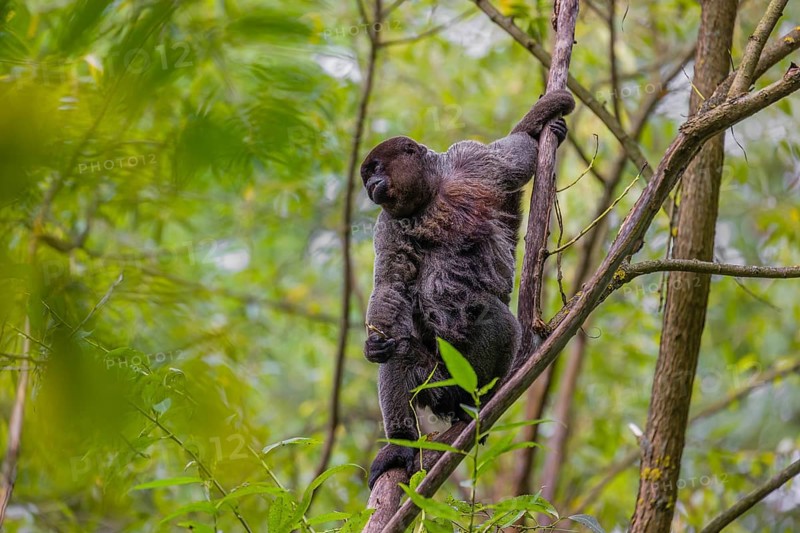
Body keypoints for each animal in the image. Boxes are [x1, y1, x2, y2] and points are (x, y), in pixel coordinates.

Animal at [360, 90, 575, 489]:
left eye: (377, 169)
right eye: (367, 175)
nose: (369, 186)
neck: (431, 194)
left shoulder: (470, 157)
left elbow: (518, 156)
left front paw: (546, 126)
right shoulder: (387, 222)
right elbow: (391, 285)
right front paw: (373, 343)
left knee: (487, 310)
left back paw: (477, 401)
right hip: (435, 380)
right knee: (399, 347)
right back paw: (400, 444)